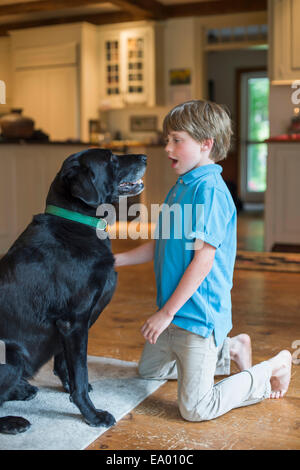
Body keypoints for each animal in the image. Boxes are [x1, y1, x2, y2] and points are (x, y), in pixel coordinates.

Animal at [0, 148, 146, 434]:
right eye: (111, 159)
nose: (145, 158)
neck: (76, 223)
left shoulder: (68, 326)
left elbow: (65, 363)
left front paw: (68, 387)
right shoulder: (74, 320)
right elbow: (80, 372)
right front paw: (93, 415)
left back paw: (21, 390)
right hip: (11, 356)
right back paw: (13, 420)